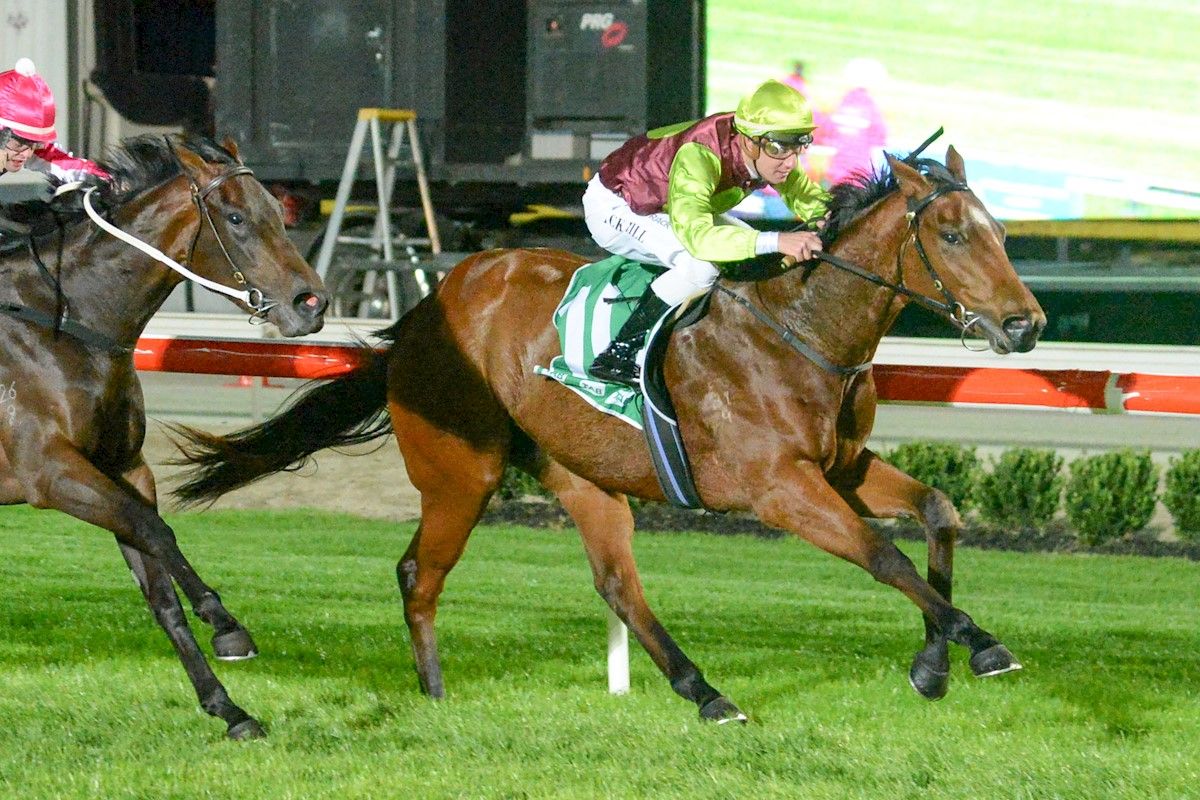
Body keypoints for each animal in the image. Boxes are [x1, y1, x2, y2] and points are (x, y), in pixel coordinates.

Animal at [0, 134, 328, 739]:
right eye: (236, 217)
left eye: (278, 211)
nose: (310, 303)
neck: (67, 322)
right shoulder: (51, 473)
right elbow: (157, 531)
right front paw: (227, 626)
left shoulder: (123, 468)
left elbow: (159, 585)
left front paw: (229, 708)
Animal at [173, 149, 1044, 723]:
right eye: (955, 237)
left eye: (1001, 232)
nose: (1024, 325)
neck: (801, 330)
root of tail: (429, 306)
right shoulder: (780, 489)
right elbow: (883, 555)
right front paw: (978, 643)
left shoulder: (843, 467)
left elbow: (938, 513)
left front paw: (933, 663)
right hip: (464, 470)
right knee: (420, 572)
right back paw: (436, 697)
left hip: (580, 471)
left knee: (618, 584)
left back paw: (707, 694)